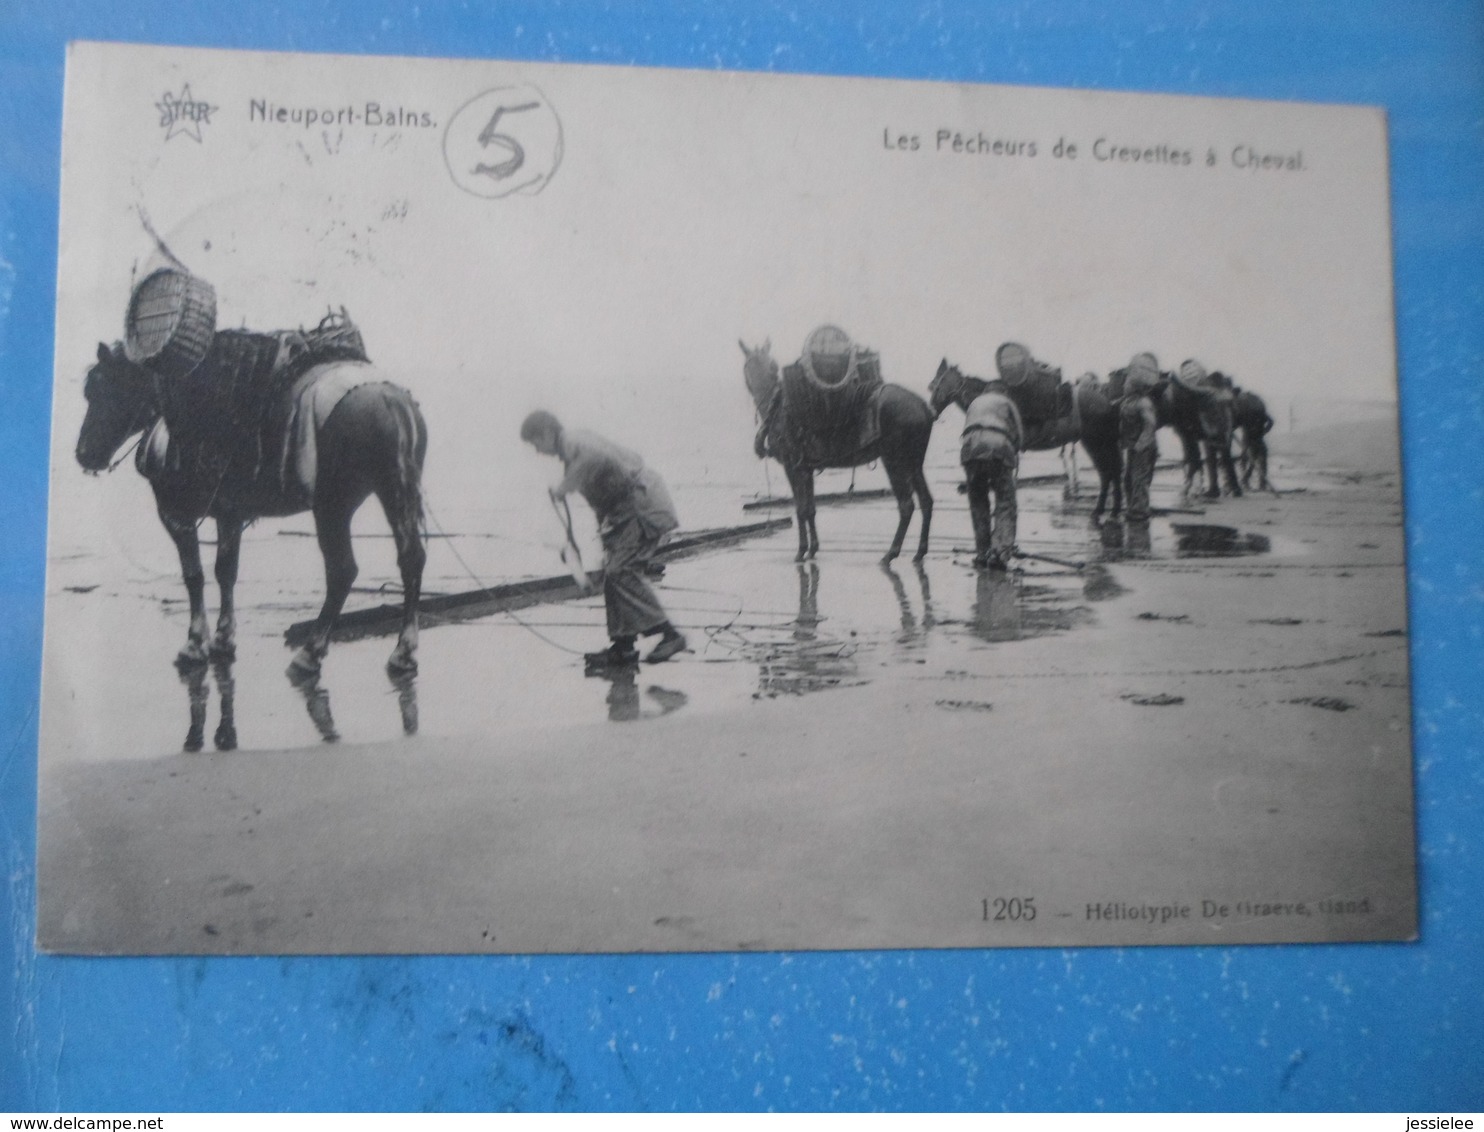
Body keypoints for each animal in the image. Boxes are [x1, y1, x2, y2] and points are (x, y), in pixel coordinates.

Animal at [77, 341, 427, 676]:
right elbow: (225, 571)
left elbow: (194, 575)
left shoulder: (176, 515)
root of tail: (392, 403)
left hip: (333, 508)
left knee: (342, 571)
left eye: (106, 387)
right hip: (394, 494)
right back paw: (403, 651)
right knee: (411, 560)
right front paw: (222, 638)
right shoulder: (229, 516)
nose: (84, 454)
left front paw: (195, 643)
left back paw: (310, 653)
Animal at [739, 338, 931, 563]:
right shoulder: (806, 469)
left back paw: (891, 553)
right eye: (749, 366)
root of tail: (921, 405)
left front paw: (801, 550)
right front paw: (813, 548)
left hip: (894, 461)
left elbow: (800, 509)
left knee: (906, 505)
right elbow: (810, 509)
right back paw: (920, 552)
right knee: (926, 501)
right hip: (914, 463)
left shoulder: (792, 468)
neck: (777, 410)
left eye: (771, 366)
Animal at [926, 360, 1121, 519]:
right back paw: (1108, 510)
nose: (932, 411)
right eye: (933, 384)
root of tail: (1107, 402)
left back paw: (1103, 510)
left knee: (1107, 473)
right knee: (1109, 472)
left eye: (939, 383)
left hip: (1096, 442)